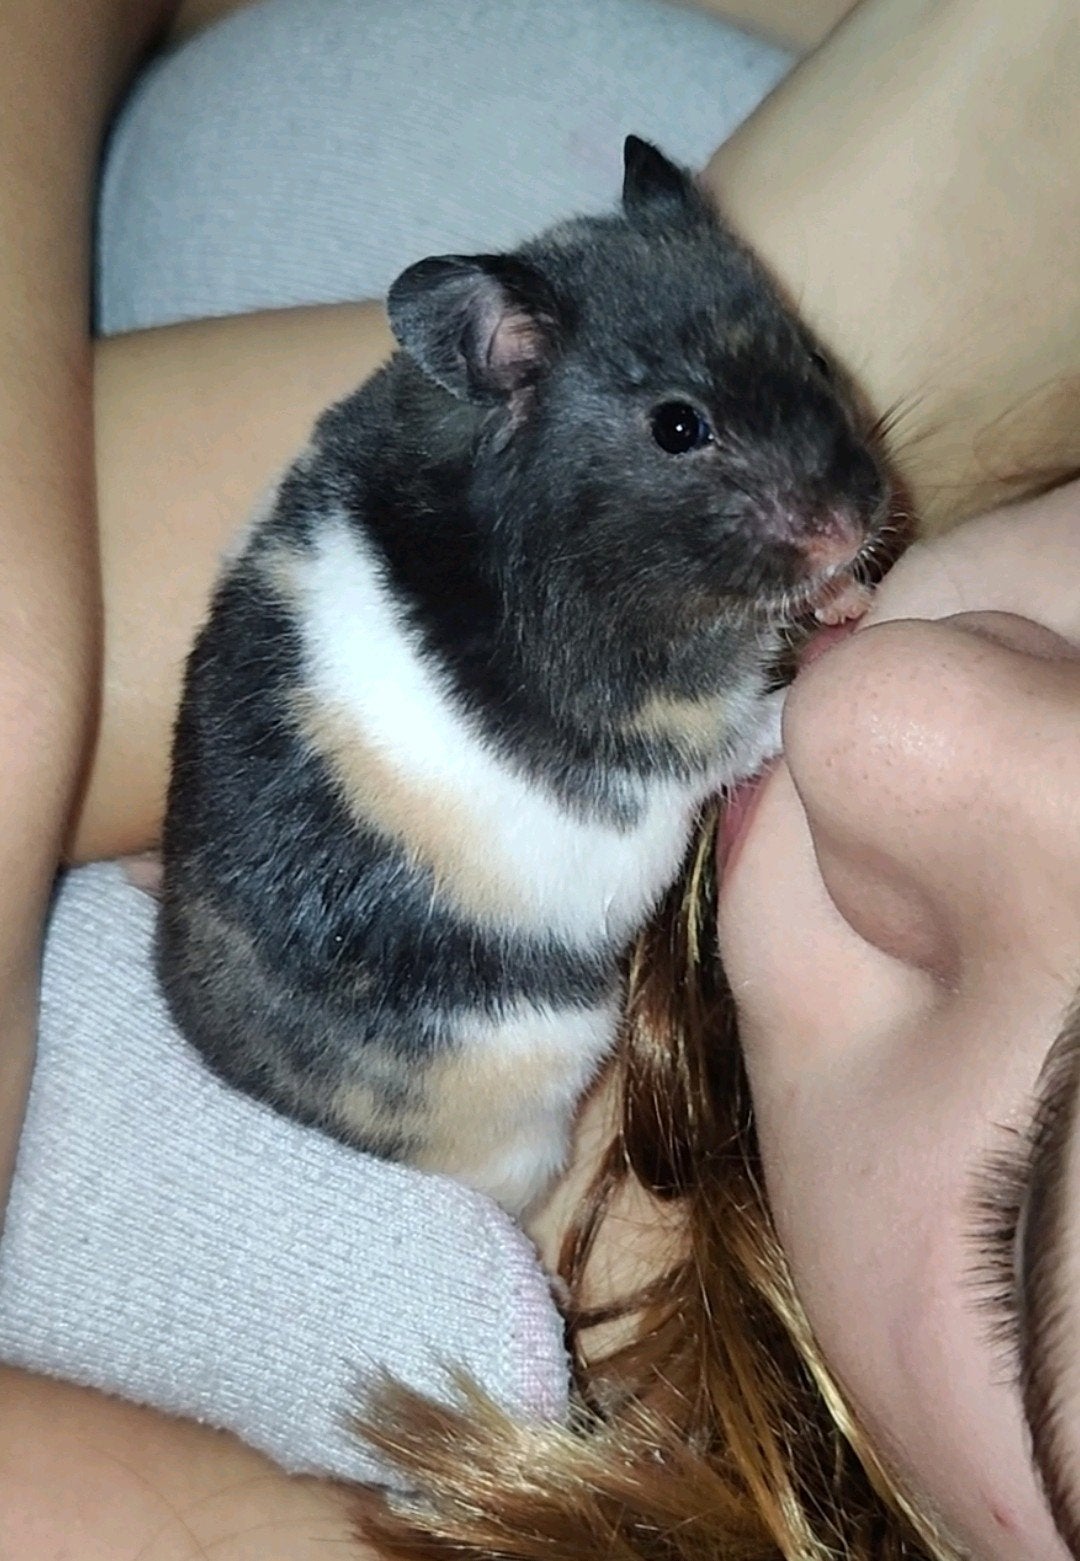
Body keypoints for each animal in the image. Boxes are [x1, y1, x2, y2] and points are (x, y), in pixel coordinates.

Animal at [157, 137, 888, 1216]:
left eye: (812, 355)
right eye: (679, 427)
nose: (857, 521)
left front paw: (846, 599)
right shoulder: (668, 728)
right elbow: (746, 730)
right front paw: (832, 651)